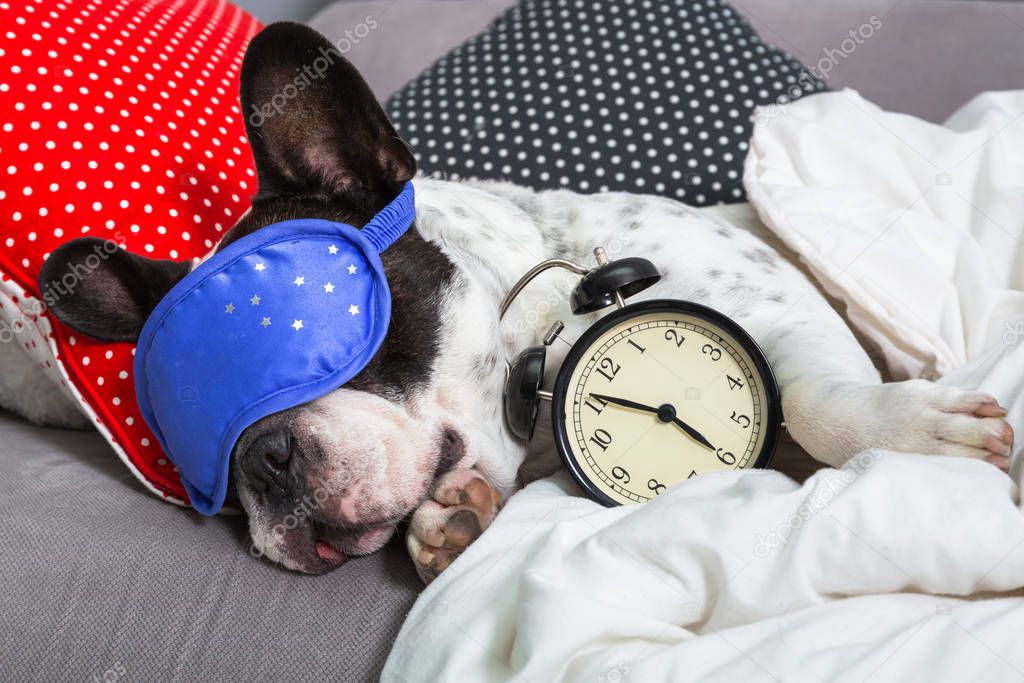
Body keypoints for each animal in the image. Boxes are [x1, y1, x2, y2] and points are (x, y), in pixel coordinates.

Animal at [6, 24, 1015, 585]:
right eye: (200, 455)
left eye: (323, 329)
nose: (264, 459)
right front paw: (451, 527)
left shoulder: (781, 294)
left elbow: (809, 395)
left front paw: (913, 432)